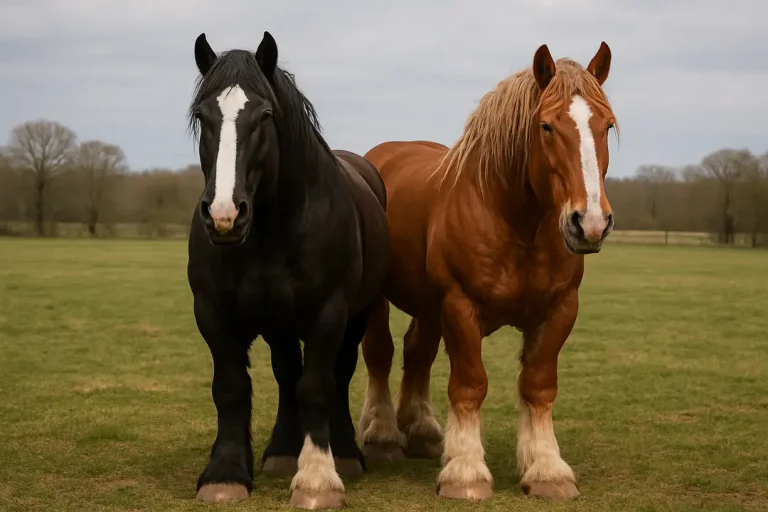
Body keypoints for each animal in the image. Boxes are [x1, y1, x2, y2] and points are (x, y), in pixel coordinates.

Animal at [186, 31, 390, 509]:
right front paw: (225, 474)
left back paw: (345, 454)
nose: (224, 215)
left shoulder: (328, 313)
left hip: (356, 316)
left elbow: (317, 386)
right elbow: (231, 388)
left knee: (337, 375)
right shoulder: (213, 313)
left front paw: (317, 478)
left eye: (264, 115)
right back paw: (281, 451)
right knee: (284, 374)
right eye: (203, 115)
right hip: (278, 322)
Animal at [357, 42, 617, 501]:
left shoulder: (560, 309)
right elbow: (469, 385)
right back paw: (383, 435)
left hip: (427, 307)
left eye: (607, 124)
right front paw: (465, 471)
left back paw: (422, 431)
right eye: (546, 126)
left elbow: (538, 385)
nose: (589, 222)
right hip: (383, 300)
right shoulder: (461, 306)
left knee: (417, 353)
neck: (515, 222)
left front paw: (546, 468)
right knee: (380, 355)